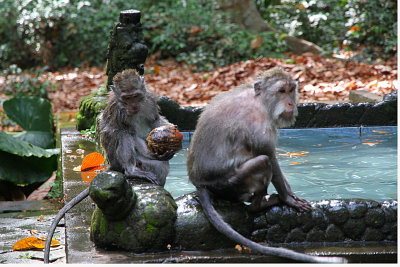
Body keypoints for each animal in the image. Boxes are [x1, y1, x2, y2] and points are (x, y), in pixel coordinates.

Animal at [188, 67, 346, 264]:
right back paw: (259, 205)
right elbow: (269, 155)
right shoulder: (259, 124)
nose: (290, 103)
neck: (261, 101)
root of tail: (199, 182)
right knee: (262, 162)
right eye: (281, 91)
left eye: (291, 90)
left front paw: (292, 194)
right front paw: (287, 199)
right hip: (228, 186)